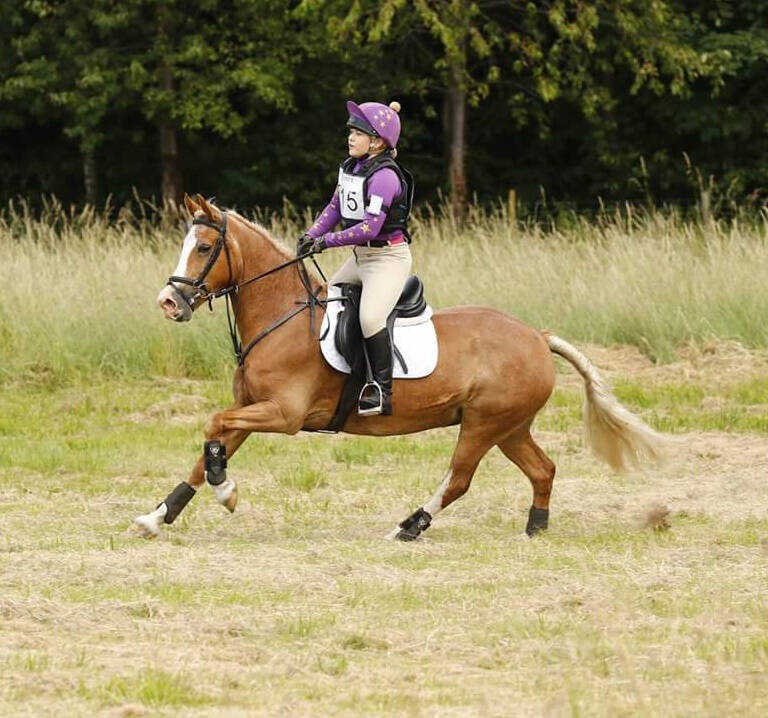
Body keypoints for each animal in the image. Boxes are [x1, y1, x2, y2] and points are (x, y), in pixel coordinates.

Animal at [135, 194, 668, 544]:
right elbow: (209, 449)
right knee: (543, 469)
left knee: (458, 479)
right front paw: (159, 516)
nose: (167, 302)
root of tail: (537, 336)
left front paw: (226, 492)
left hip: (483, 424)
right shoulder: (252, 407)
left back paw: (408, 526)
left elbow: (213, 426)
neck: (280, 315)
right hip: (509, 426)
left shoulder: (283, 415)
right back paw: (535, 528)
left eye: (205, 249)